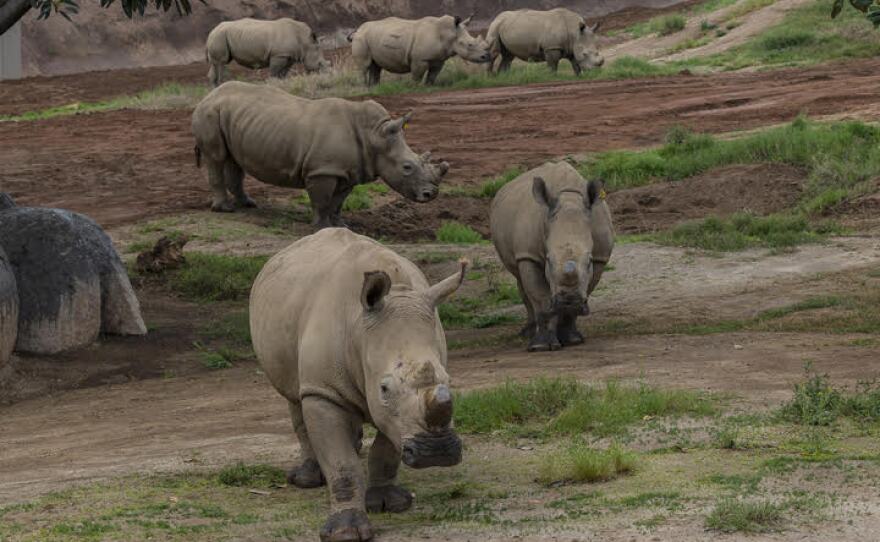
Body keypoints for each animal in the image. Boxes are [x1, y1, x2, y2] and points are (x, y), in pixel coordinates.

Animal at [191, 81, 449, 228]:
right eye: (407, 167)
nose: (432, 194)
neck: (375, 134)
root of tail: (208, 95)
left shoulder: (349, 172)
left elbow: (337, 202)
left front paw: (341, 226)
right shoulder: (322, 170)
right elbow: (322, 200)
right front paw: (320, 227)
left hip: (233, 117)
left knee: (234, 160)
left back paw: (247, 205)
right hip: (209, 113)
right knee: (216, 157)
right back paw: (225, 210)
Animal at [250, 228, 467, 542]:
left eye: (448, 381)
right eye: (385, 389)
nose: (435, 453)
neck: (360, 334)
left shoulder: (394, 412)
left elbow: (387, 448)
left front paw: (390, 503)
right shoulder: (324, 390)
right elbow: (342, 464)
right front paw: (345, 532)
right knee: (295, 397)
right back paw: (307, 479)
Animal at [349, 15, 491, 86]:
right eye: (469, 45)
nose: (486, 56)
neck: (448, 34)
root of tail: (358, 29)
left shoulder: (439, 59)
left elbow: (433, 75)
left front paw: (429, 87)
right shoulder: (420, 59)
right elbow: (417, 76)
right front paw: (415, 88)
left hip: (373, 37)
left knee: (376, 66)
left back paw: (375, 87)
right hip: (361, 38)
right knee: (365, 66)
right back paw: (365, 89)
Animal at [490, 162, 614, 351]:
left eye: (589, 262)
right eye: (549, 260)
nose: (569, 300)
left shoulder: (600, 257)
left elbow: (585, 288)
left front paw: (572, 340)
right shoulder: (529, 254)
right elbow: (540, 299)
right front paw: (540, 346)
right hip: (520, 250)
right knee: (521, 280)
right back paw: (527, 334)